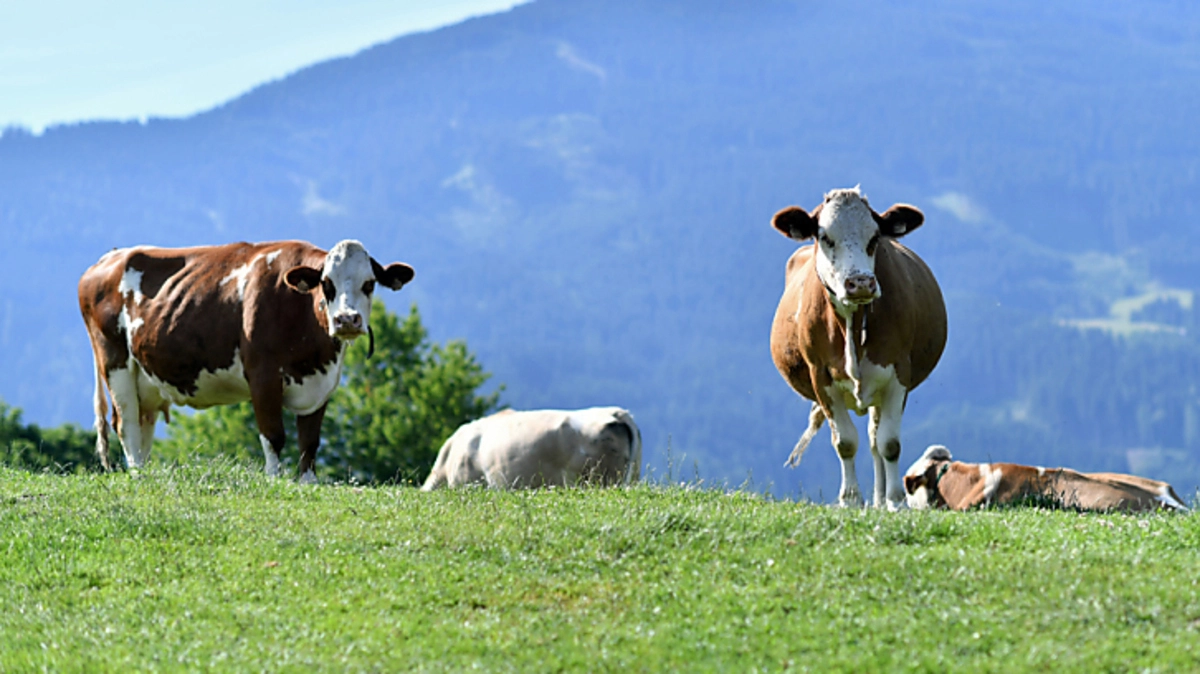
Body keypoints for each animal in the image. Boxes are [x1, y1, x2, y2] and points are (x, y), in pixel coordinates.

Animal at [78, 239, 414, 482]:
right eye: (326, 283)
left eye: (369, 283)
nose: (347, 320)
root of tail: (109, 258)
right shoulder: (263, 374)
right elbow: (274, 436)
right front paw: (275, 480)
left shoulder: (321, 384)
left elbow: (309, 441)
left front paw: (309, 483)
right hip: (115, 360)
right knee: (126, 423)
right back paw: (137, 474)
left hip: (146, 378)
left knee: (143, 422)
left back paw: (146, 471)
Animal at [770, 187, 947, 510]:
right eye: (825, 237)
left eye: (875, 237)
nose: (861, 282)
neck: (852, 322)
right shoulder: (820, 375)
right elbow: (845, 441)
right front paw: (851, 499)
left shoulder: (898, 373)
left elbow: (889, 443)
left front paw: (895, 501)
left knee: (876, 439)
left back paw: (880, 499)